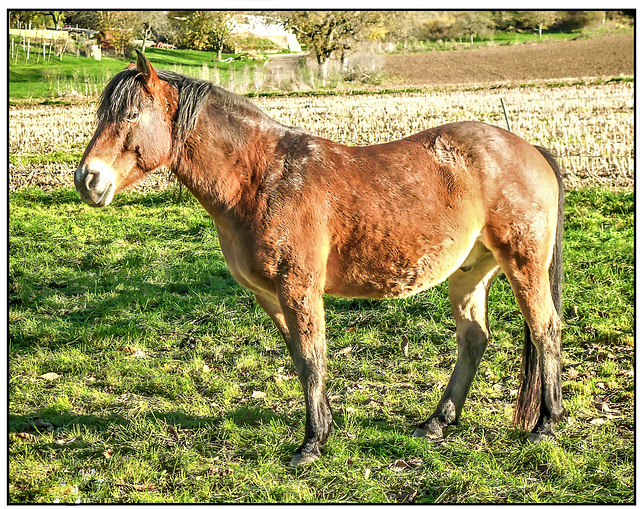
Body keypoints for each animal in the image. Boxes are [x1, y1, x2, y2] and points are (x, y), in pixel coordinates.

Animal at [74, 50, 564, 464]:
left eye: (131, 115)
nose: (87, 180)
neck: (261, 179)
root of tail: (529, 149)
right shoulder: (271, 295)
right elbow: (300, 357)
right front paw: (323, 429)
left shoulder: (299, 287)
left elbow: (312, 358)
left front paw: (310, 444)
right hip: (469, 271)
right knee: (474, 340)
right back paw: (437, 423)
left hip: (523, 263)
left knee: (545, 329)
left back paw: (546, 424)